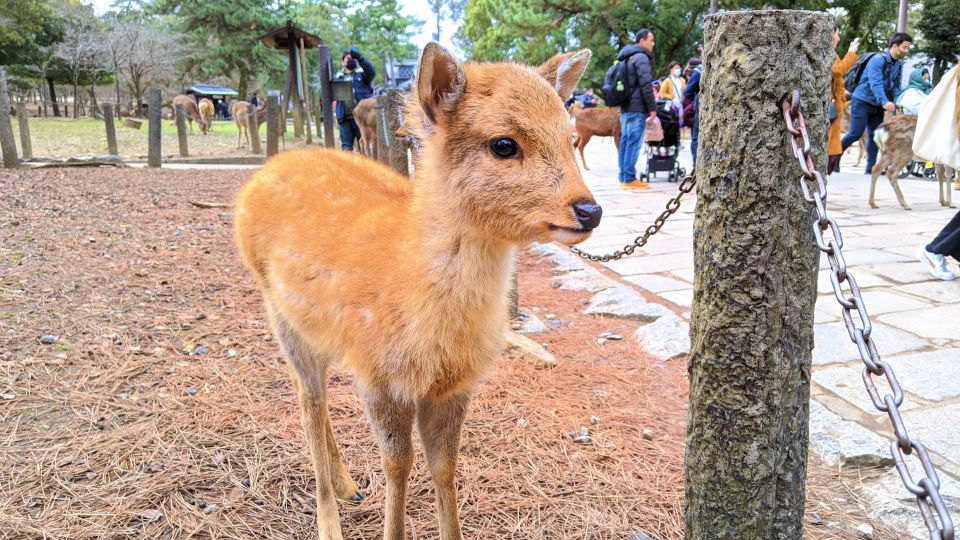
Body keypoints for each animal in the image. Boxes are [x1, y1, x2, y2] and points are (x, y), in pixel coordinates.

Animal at [234, 43, 600, 540]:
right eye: (504, 144)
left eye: (570, 136)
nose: (589, 210)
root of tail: (263, 174)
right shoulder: (378, 376)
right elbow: (398, 464)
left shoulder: (454, 387)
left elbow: (444, 467)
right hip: (280, 316)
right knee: (309, 402)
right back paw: (329, 519)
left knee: (313, 399)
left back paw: (348, 485)